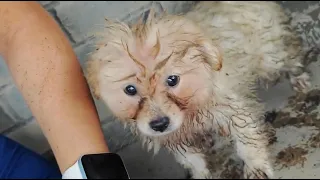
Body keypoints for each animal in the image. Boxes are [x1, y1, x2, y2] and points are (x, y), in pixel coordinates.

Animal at [85, 1, 310, 179]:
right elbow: (191, 160)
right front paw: (201, 173)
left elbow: (247, 143)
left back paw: (299, 77)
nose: (159, 124)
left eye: (173, 79)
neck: (190, 108)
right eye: (130, 89)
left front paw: (255, 168)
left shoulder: (233, 110)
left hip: (271, 56)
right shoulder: (173, 138)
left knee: (289, 55)